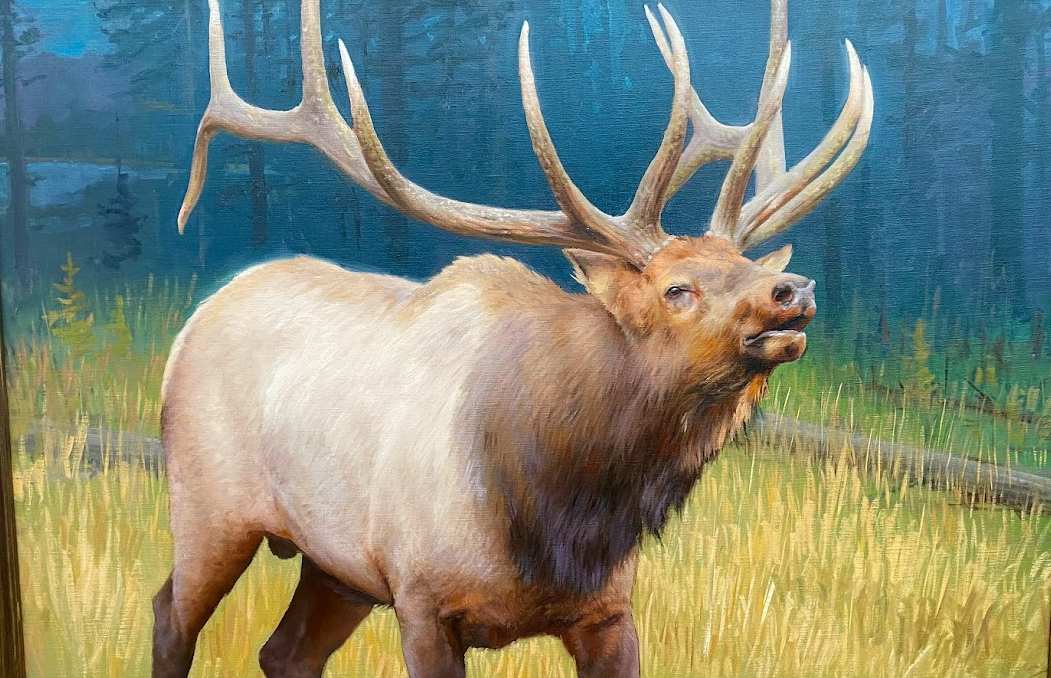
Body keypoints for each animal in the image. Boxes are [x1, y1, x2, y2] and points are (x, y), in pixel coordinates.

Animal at [154, 0, 873, 676]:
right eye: (677, 289)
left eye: (746, 263)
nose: (792, 290)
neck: (561, 514)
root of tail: (196, 319)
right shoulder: (421, 598)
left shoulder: (609, 611)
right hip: (210, 506)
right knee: (170, 614)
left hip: (334, 566)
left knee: (285, 653)